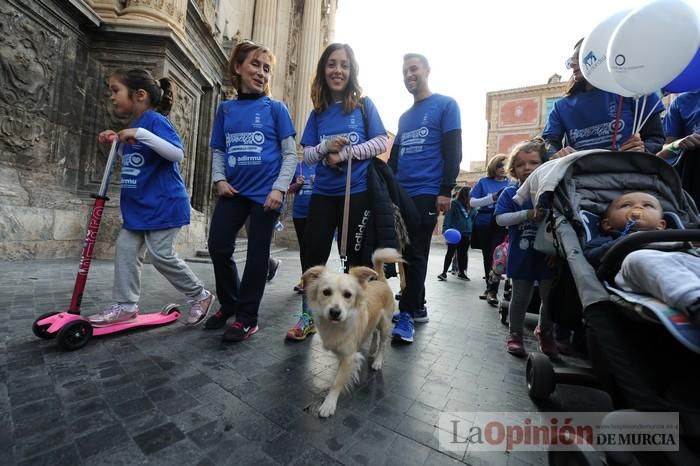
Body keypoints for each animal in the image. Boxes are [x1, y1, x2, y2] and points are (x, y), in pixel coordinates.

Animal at [302, 248, 404, 418]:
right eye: (326, 292)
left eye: (348, 295)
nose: (335, 312)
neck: (337, 325)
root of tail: (381, 281)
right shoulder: (342, 354)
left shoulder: (349, 356)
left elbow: (337, 381)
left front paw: (329, 404)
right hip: (374, 321)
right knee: (373, 333)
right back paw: (371, 349)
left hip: (384, 324)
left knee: (383, 343)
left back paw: (377, 361)